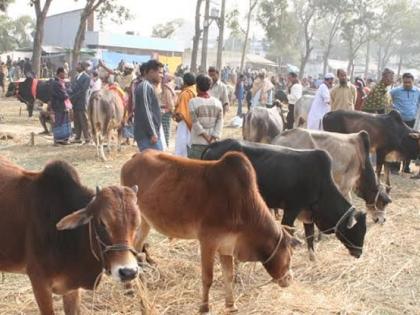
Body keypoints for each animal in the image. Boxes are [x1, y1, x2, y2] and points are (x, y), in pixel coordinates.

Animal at [120, 151, 300, 314]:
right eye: (290, 254)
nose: (289, 279)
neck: (242, 207)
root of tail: (135, 157)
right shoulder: (208, 242)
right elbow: (208, 278)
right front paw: (204, 308)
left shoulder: (227, 245)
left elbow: (229, 275)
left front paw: (231, 306)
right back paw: (129, 288)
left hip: (145, 222)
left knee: (136, 248)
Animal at [202, 140, 366, 262]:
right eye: (357, 230)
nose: (358, 253)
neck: (321, 185)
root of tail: (214, 145)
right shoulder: (291, 210)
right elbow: (289, 234)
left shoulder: (307, 215)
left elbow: (310, 236)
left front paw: (313, 259)